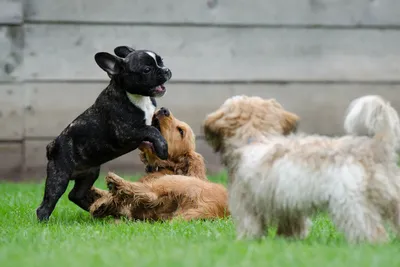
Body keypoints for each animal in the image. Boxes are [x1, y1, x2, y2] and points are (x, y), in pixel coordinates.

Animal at [203, 95, 400, 244]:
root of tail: (374, 147)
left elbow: (250, 226)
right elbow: (292, 227)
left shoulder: (246, 204)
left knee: (371, 230)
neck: (256, 139)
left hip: (351, 205)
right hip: (392, 198)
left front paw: (245, 242)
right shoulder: (288, 206)